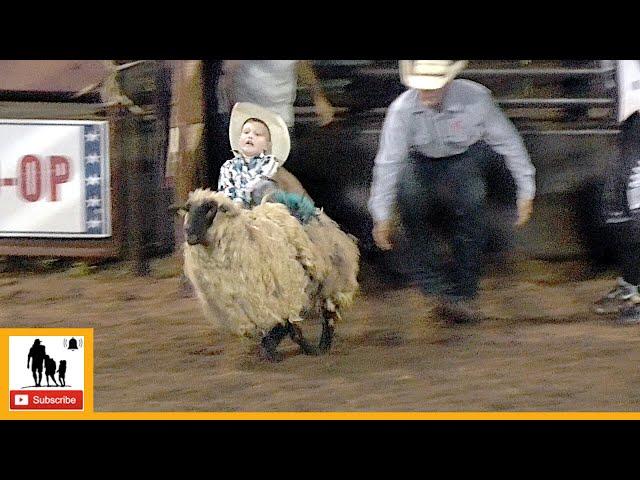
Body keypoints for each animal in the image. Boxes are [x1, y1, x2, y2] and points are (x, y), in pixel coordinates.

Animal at [180, 188, 358, 360]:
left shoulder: (282, 296)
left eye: (210, 209)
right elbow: (284, 327)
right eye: (189, 209)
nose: (188, 232)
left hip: (331, 279)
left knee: (328, 313)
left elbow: (289, 327)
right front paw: (272, 349)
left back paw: (323, 346)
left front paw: (280, 350)